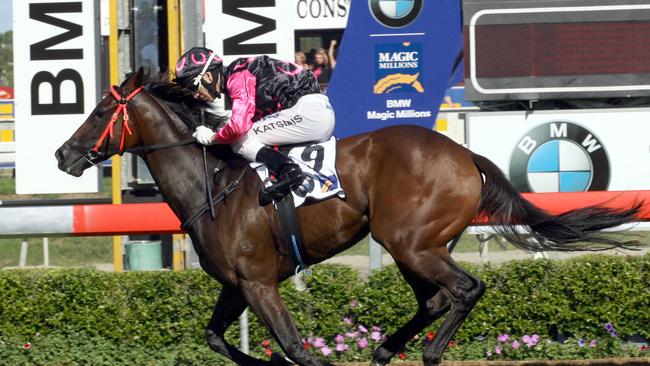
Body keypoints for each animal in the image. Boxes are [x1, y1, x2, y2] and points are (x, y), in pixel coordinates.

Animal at [54, 69, 636, 366]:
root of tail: (465, 154)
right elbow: (217, 338)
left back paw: (426, 355)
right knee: (435, 299)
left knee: (465, 290)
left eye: (101, 112)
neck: (212, 183)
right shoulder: (236, 283)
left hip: (410, 242)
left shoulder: (259, 282)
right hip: (413, 245)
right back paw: (384, 350)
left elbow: (296, 348)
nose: (64, 154)